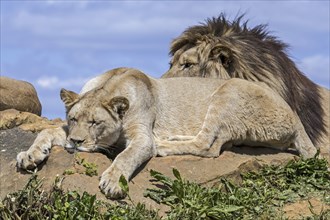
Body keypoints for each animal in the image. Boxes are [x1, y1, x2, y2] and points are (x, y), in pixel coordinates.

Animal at [16, 67, 318, 199]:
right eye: (75, 118)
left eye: (95, 123)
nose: (75, 143)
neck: (111, 85)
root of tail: (296, 117)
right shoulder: (66, 129)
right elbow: (47, 130)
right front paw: (29, 156)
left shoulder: (142, 136)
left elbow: (125, 157)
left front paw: (113, 182)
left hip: (229, 90)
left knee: (208, 145)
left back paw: (164, 144)